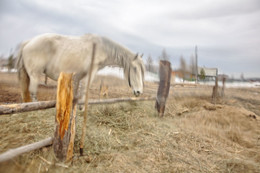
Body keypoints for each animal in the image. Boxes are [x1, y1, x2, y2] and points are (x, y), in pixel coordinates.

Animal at [16, 33, 145, 102]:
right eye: (134, 69)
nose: (139, 91)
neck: (100, 48)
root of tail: (28, 42)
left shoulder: (77, 76)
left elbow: (76, 92)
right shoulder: (91, 72)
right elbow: (85, 89)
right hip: (34, 75)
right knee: (32, 92)